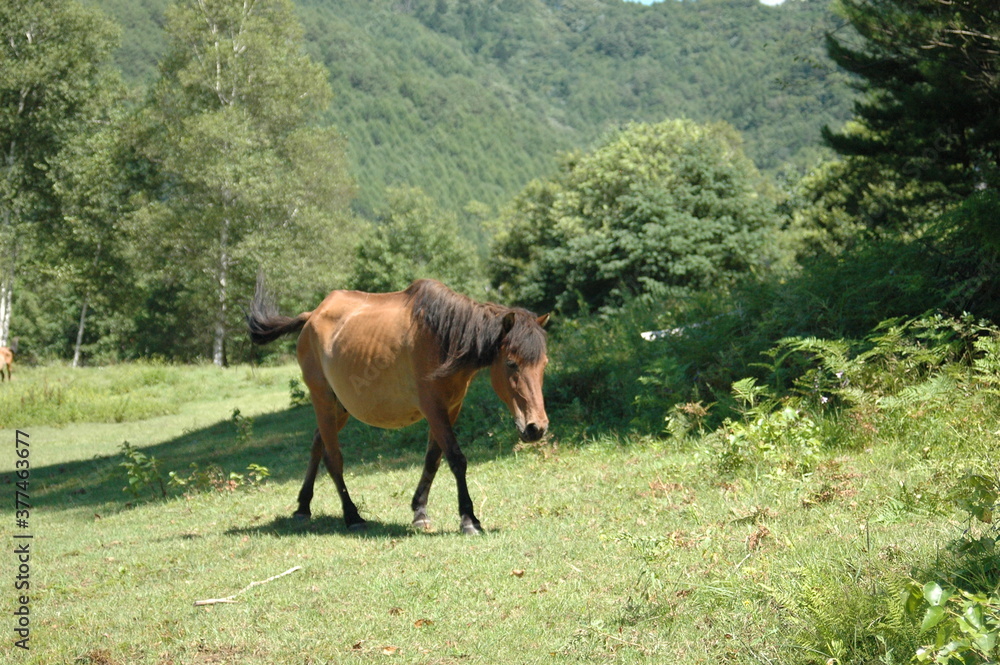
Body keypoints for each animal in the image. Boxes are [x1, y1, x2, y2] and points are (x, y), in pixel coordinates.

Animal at [247, 279, 550, 535]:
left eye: (543, 364)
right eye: (511, 363)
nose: (536, 428)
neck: (443, 336)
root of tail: (312, 315)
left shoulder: (450, 408)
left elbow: (433, 459)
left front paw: (420, 511)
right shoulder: (433, 408)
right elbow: (456, 459)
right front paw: (469, 519)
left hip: (338, 407)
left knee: (316, 445)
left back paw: (303, 507)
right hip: (322, 399)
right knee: (333, 458)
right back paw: (352, 516)